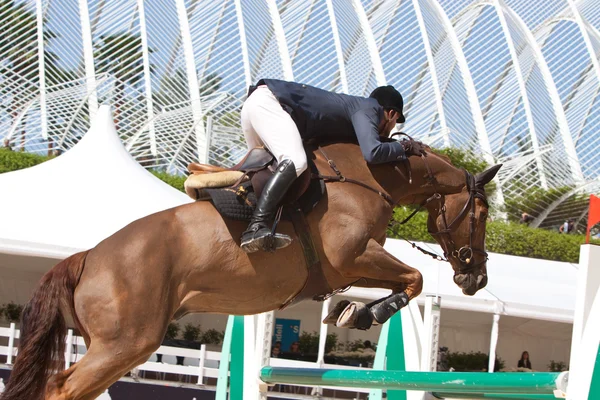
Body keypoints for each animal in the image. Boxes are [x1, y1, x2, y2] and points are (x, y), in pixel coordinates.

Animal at [0, 139, 500, 398]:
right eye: (482, 212)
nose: (475, 278)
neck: (370, 176)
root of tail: (87, 257)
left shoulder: (352, 268)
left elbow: (406, 281)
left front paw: (349, 312)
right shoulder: (353, 257)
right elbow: (414, 278)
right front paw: (363, 314)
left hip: (115, 346)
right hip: (125, 344)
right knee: (61, 390)